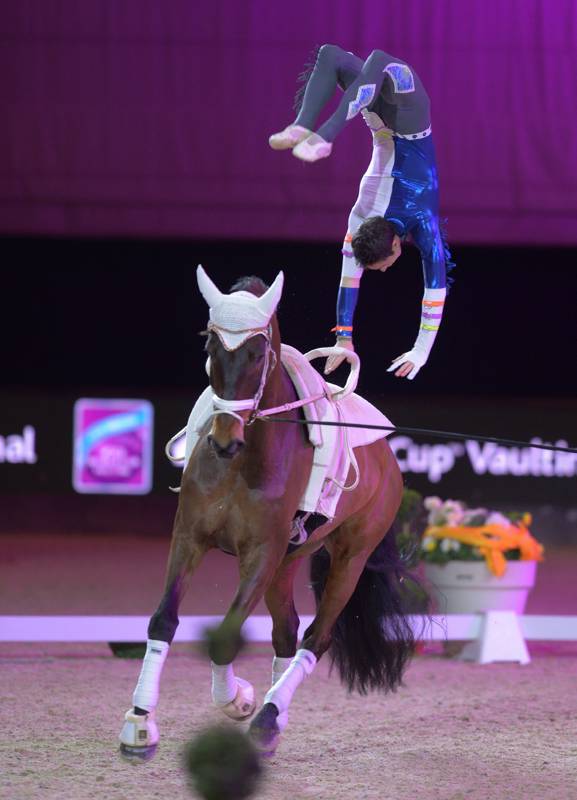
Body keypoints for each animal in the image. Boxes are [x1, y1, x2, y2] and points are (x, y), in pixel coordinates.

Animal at [118, 266, 414, 760]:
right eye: (211, 348)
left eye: (257, 354)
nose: (223, 441)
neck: (242, 462)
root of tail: (387, 454)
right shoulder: (189, 537)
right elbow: (163, 620)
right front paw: (140, 723)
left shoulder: (261, 552)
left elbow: (225, 635)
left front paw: (238, 701)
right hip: (288, 561)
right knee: (286, 630)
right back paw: (274, 715)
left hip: (348, 558)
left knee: (316, 636)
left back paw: (268, 717)